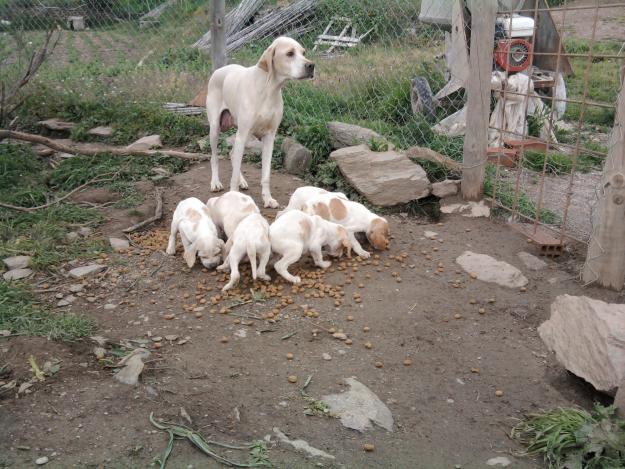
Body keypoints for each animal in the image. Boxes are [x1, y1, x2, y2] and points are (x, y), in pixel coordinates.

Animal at [206, 37, 314, 209]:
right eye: (290, 53)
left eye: (304, 53)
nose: (311, 66)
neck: (269, 89)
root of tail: (219, 70)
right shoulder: (242, 134)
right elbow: (232, 175)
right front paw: (234, 198)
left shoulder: (269, 138)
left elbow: (266, 175)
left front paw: (268, 199)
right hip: (217, 130)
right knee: (215, 157)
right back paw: (216, 183)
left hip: (244, 136)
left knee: (232, 154)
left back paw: (242, 181)